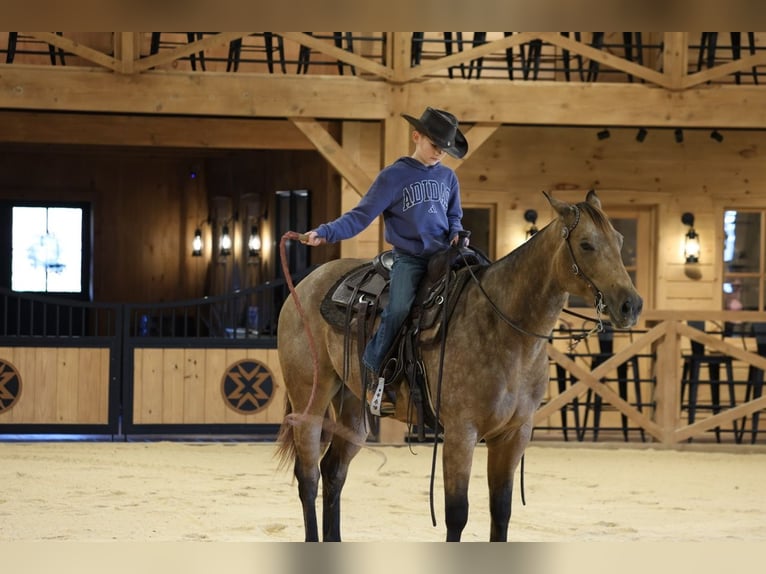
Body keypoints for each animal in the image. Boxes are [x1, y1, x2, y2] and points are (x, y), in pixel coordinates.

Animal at [275, 189, 642, 542]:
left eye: (619, 241)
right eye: (586, 244)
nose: (631, 305)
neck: (503, 328)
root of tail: (304, 286)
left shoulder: (514, 434)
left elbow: (501, 511)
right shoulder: (460, 433)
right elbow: (457, 514)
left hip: (353, 408)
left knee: (333, 471)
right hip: (310, 399)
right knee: (308, 477)